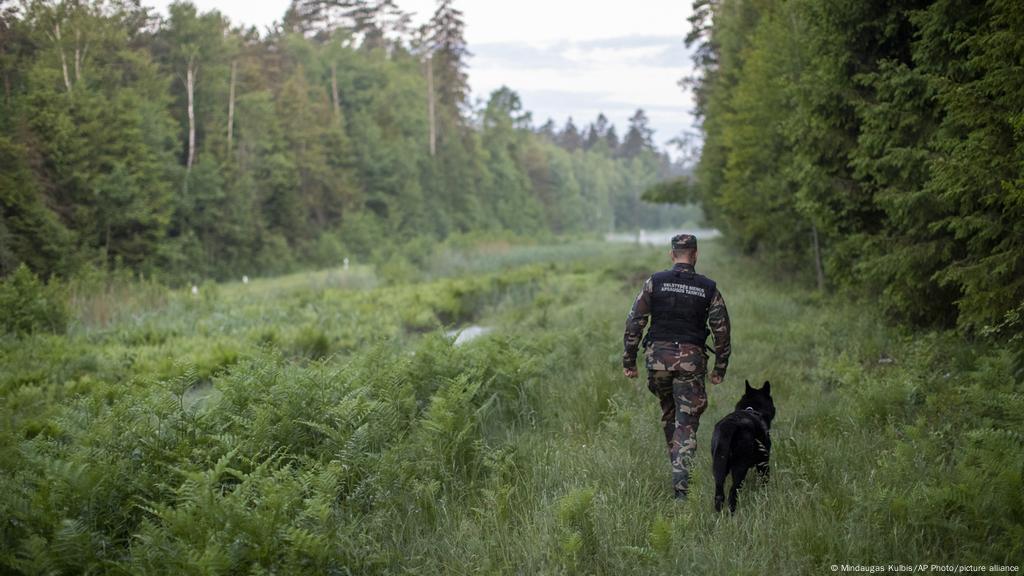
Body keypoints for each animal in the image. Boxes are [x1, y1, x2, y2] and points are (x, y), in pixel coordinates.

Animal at [712, 379, 774, 508]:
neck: (751, 409)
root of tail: (730, 425)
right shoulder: (763, 462)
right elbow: (764, 480)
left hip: (718, 465)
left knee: (719, 494)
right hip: (740, 467)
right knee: (733, 492)